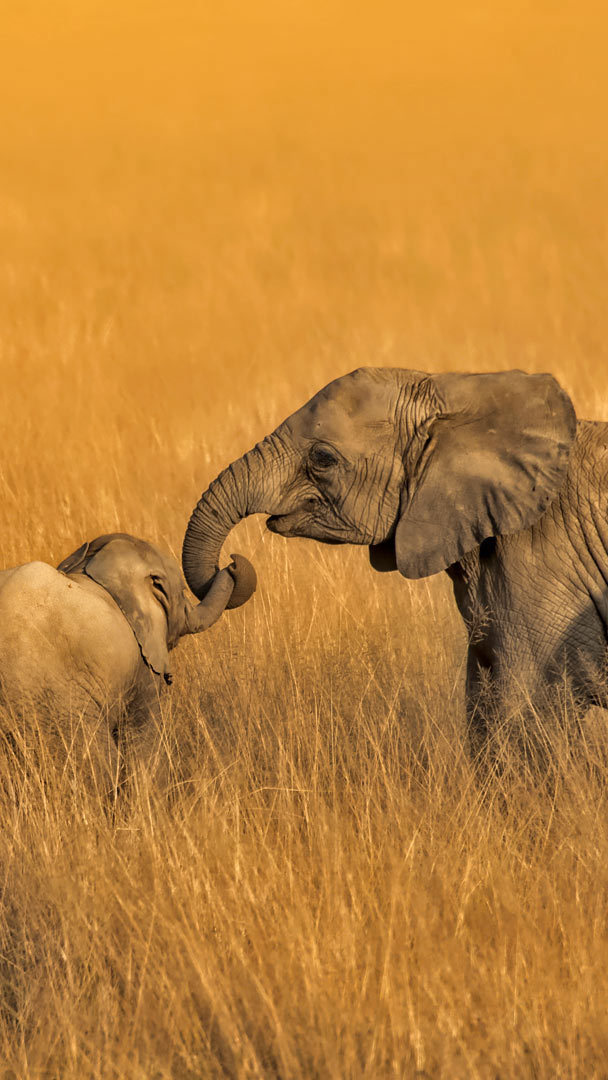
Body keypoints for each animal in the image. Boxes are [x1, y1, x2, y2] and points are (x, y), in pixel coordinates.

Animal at [0, 535, 255, 790]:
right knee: (100, 765)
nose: (232, 562)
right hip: (51, 705)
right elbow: (145, 740)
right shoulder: (144, 668)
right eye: (182, 592)